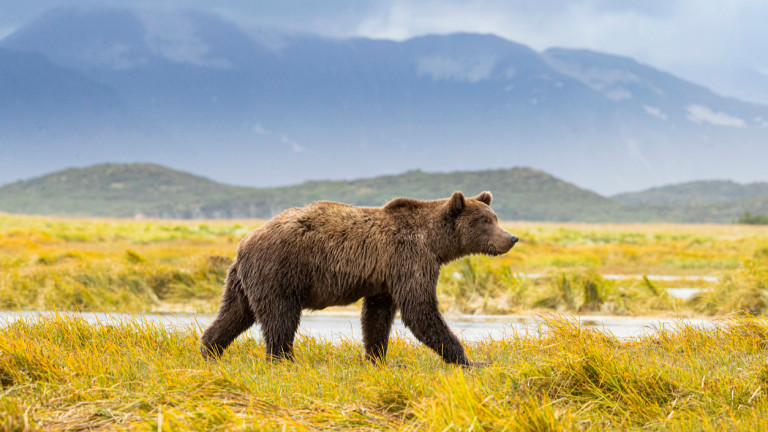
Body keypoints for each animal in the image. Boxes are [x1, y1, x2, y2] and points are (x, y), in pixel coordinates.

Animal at [201, 192, 520, 364]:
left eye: (496, 218)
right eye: (485, 222)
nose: (512, 238)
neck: (435, 243)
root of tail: (244, 242)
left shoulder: (386, 276)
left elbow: (377, 316)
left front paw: (376, 358)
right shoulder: (410, 259)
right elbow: (420, 310)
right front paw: (468, 359)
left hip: (243, 280)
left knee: (235, 313)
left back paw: (209, 349)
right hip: (279, 271)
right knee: (281, 318)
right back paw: (284, 359)